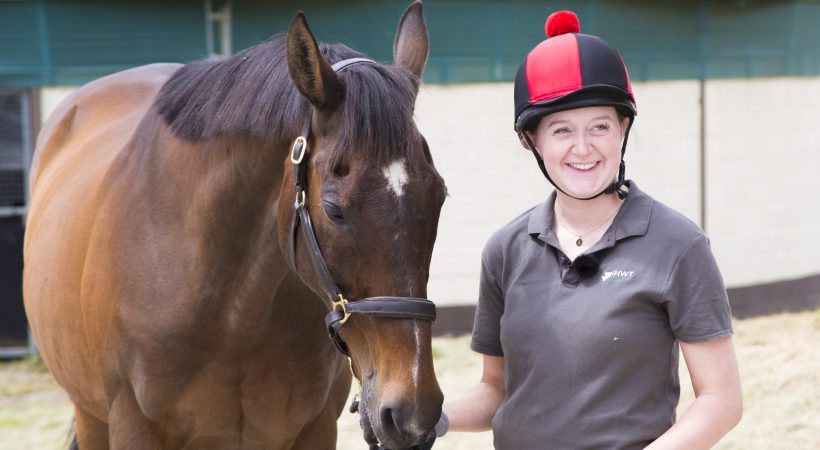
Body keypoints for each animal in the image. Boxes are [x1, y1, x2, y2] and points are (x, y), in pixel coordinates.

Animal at [23, 1, 446, 448]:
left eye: (439, 197)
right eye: (334, 209)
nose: (413, 412)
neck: (233, 315)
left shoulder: (314, 428)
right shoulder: (133, 427)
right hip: (89, 414)